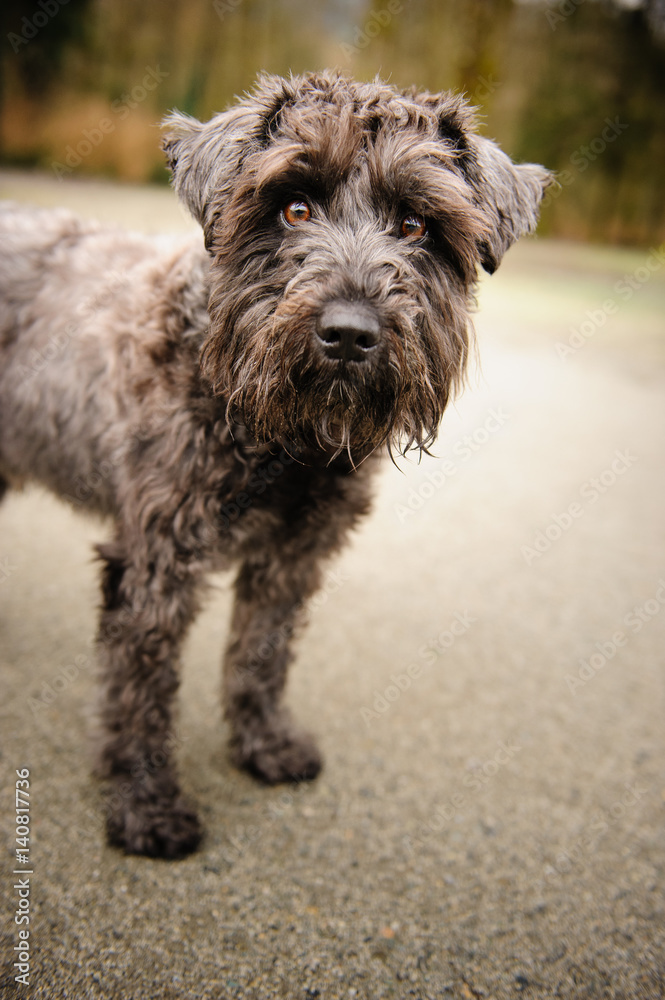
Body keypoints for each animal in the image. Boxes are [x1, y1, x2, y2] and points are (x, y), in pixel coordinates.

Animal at [0, 74, 548, 860]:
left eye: (416, 224)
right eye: (293, 207)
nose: (348, 334)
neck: (283, 435)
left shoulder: (293, 556)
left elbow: (260, 654)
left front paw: (263, 746)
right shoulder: (154, 564)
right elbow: (140, 690)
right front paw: (145, 807)